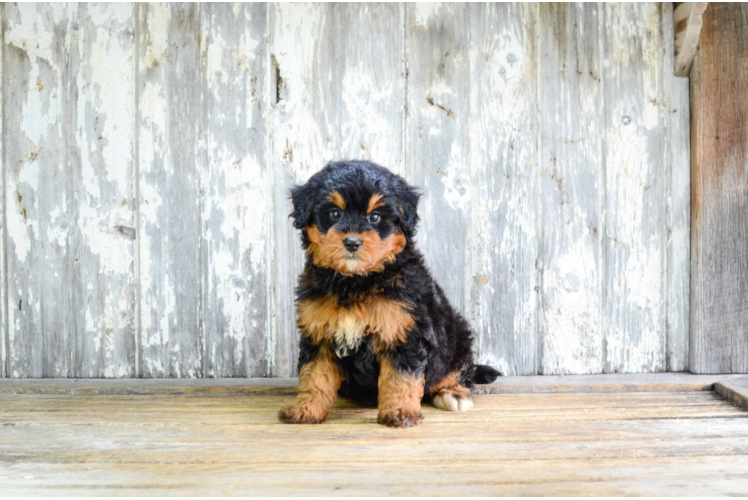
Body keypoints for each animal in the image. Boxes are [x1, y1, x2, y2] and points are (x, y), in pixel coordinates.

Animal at [278, 160, 500, 426]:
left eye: (375, 217)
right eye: (334, 214)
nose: (352, 242)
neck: (356, 281)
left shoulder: (404, 331)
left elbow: (400, 378)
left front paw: (401, 412)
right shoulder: (319, 333)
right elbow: (313, 375)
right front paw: (305, 409)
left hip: (456, 335)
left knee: (457, 368)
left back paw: (452, 392)